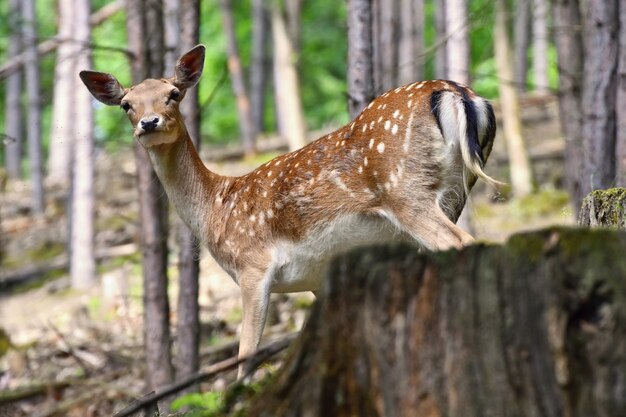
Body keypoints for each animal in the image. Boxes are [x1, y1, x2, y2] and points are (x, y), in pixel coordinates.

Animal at [79, 44, 498, 376]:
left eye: (173, 94)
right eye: (127, 104)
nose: (149, 123)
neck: (216, 205)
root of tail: (459, 94)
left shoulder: (253, 265)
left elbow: (246, 355)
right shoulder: (315, 277)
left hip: (407, 194)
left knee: (464, 244)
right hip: (455, 194)